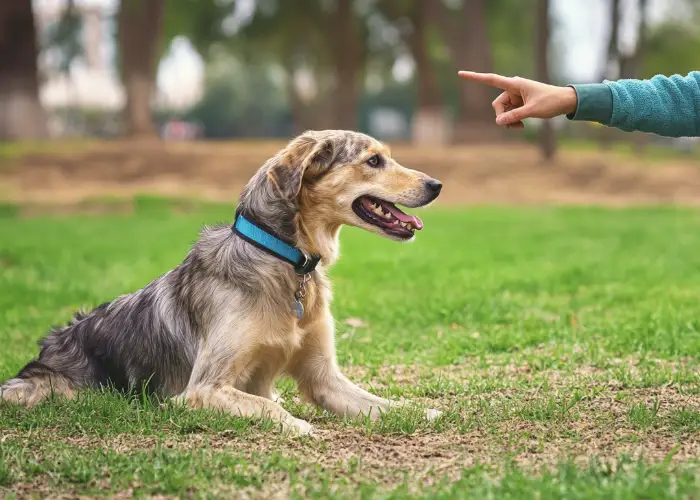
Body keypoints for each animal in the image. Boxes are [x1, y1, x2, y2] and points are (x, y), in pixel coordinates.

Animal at [1, 130, 442, 434]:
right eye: (373, 161)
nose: (436, 185)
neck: (284, 259)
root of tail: (48, 347)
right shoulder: (203, 389)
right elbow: (266, 406)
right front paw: (297, 425)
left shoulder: (324, 380)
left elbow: (380, 402)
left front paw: (423, 410)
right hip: (41, 390)